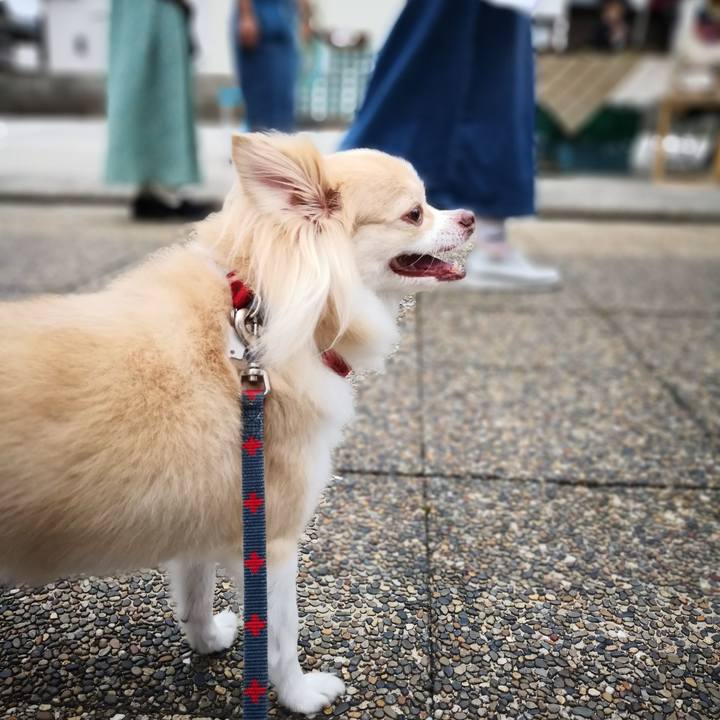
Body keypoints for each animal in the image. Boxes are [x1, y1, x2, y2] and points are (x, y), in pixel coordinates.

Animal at [0, 133, 474, 714]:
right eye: (415, 212)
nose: (472, 216)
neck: (261, 323)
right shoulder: (274, 537)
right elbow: (280, 634)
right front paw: (298, 695)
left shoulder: (204, 515)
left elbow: (196, 594)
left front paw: (206, 642)